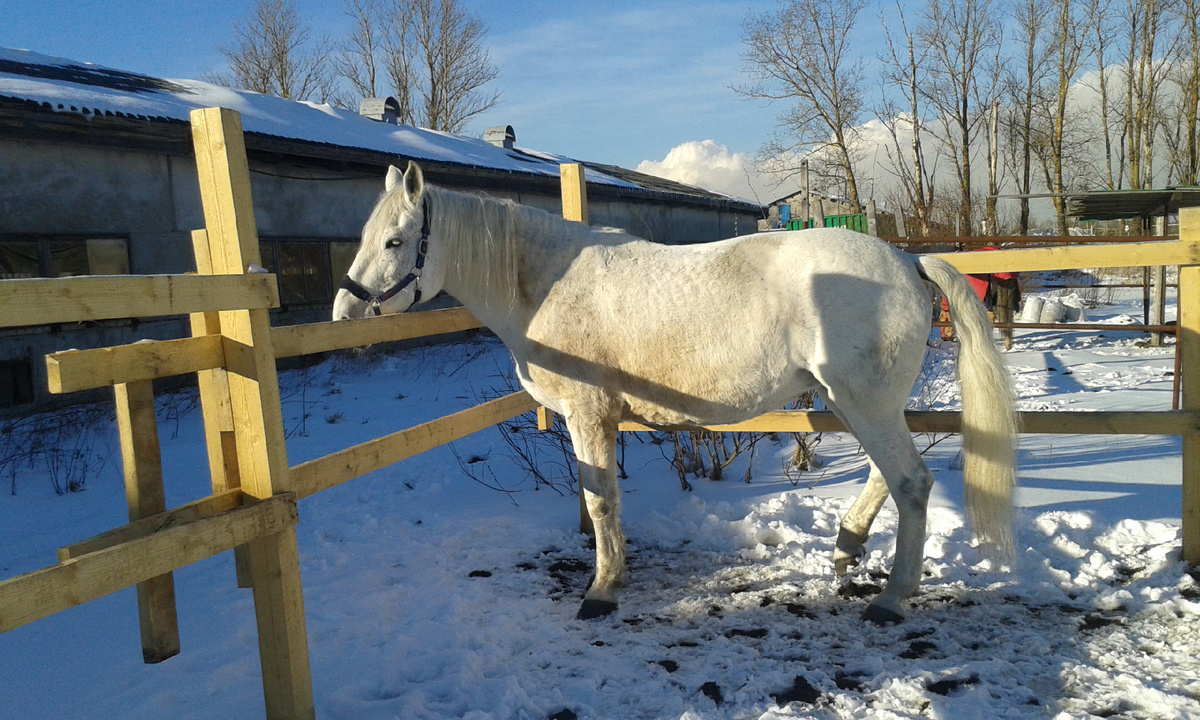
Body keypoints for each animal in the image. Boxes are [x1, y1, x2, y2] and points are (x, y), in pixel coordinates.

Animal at [333, 163, 1017, 624]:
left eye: (395, 241)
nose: (343, 311)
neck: (544, 284)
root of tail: (906, 261)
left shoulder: (587, 415)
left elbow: (601, 503)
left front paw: (602, 589)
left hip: (864, 402)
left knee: (911, 483)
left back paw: (893, 598)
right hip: (858, 402)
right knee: (889, 476)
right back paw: (847, 548)